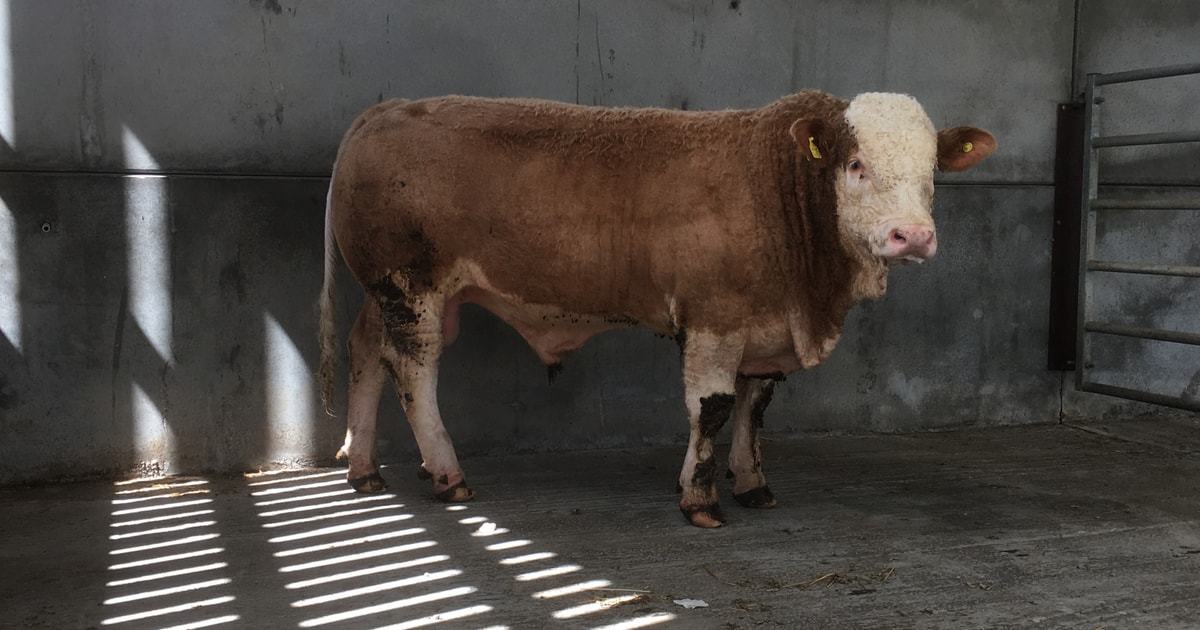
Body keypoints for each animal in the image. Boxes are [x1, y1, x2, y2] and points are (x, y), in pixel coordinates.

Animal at [318, 91, 995, 527]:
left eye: (932, 171)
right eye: (856, 165)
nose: (913, 236)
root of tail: (383, 111)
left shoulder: (763, 326)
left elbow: (754, 408)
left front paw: (752, 483)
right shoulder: (715, 318)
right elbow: (712, 408)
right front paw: (700, 499)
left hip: (383, 294)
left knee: (366, 353)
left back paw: (364, 467)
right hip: (412, 289)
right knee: (414, 371)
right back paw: (446, 473)